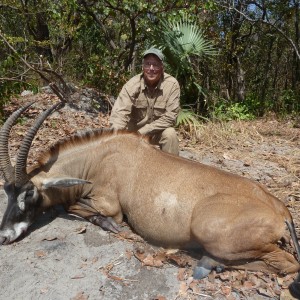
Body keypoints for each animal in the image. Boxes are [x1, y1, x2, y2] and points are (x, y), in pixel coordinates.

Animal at [0, 102, 300, 296]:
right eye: (7, 191)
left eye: (29, 192)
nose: (3, 236)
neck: (98, 158)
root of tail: (281, 210)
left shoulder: (110, 206)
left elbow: (73, 205)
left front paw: (110, 225)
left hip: (209, 229)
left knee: (286, 264)